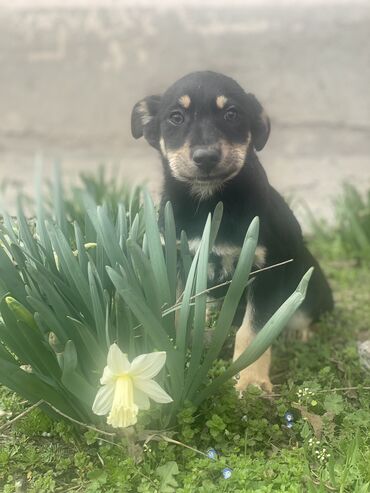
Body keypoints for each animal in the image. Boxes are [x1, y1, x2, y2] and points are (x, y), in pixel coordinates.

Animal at [132, 70, 334, 392]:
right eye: (176, 117)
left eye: (231, 114)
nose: (206, 157)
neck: (210, 202)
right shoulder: (177, 262)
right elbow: (178, 313)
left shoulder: (265, 271)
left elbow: (253, 332)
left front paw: (251, 382)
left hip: (309, 281)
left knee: (304, 314)